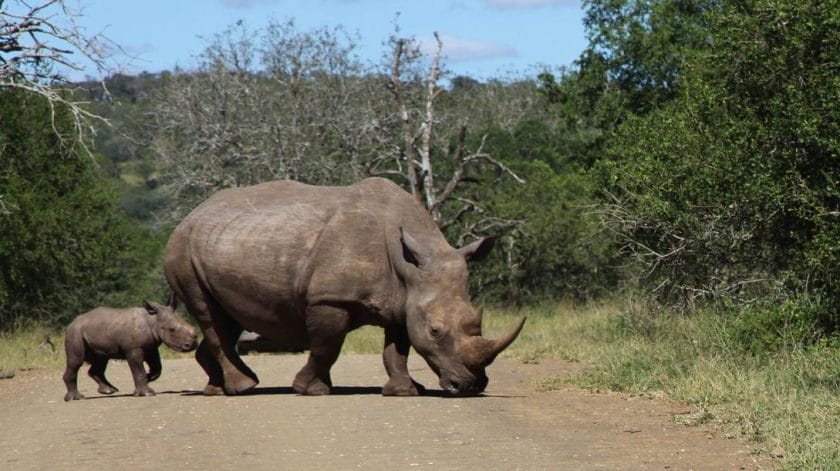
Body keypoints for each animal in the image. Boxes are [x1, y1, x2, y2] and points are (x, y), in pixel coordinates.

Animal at [62, 296, 197, 402]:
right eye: (172, 330)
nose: (192, 345)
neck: (153, 320)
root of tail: (71, 323)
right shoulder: (133, 348)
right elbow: (139, 369)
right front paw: (147, 393)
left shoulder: (151, 347)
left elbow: (157, 368)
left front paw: (148, 377)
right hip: (75, 333)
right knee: (76, 361)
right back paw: (76, 398)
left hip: (94, 331)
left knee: (101, 359)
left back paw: (109, 391)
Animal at [164, 179, 524, 396]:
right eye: (435, 331)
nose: (472, 386)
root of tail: (188, 216)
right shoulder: (330, 298)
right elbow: (327, 346)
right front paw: (310, 389)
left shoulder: (404, 300)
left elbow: (397, 349)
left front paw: (406, 391)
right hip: (182, 251)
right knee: (208, 313)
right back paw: (244, 388)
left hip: (226, 242)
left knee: (227, 318)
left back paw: (217, 389)